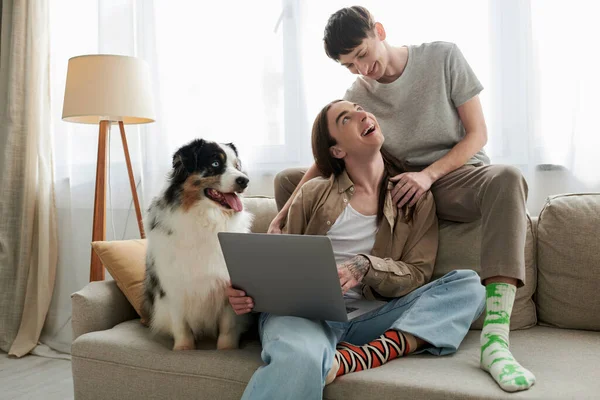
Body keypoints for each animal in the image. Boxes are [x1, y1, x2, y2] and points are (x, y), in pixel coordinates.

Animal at [145, 138, 253, 350]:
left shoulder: (227, 289)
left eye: (237, 166)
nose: (244, 180)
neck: (207, 218)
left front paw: (226, 350)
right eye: (215, 164)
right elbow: (181, 325)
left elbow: (228, 326)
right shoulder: (174, 285)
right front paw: (183, 349)